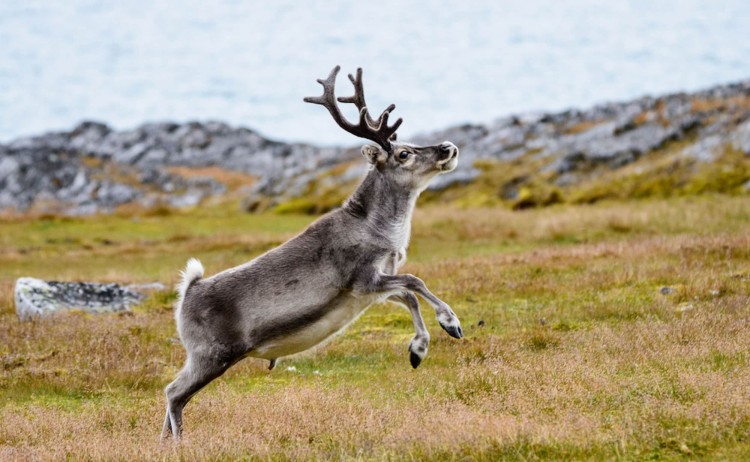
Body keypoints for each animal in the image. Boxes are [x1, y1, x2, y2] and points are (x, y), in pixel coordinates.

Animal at [161, 66, 463, 441]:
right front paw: (450, 324)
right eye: (404, 153)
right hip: (212, 354)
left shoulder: (370, 288)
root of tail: (188, 290)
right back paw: (179, 443)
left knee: (176, 395)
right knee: (174, 393)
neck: (382, 230)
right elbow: (415, 282)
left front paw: (418, 349)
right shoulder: (363, 278)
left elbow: (408, 294)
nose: (448, 147)